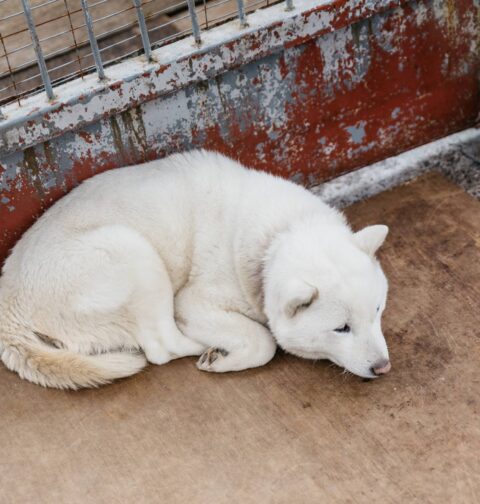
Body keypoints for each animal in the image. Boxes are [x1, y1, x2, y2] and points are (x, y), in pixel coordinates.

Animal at [0, 151, 390, 390]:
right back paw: (207, 347)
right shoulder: (195, 301)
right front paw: (226, 358)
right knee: (161, 346)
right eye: (341, 328)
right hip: (132, 251)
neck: (278, 234)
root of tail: (10, 302)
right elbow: (264, 342)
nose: (382, 367)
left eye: (377, 311)